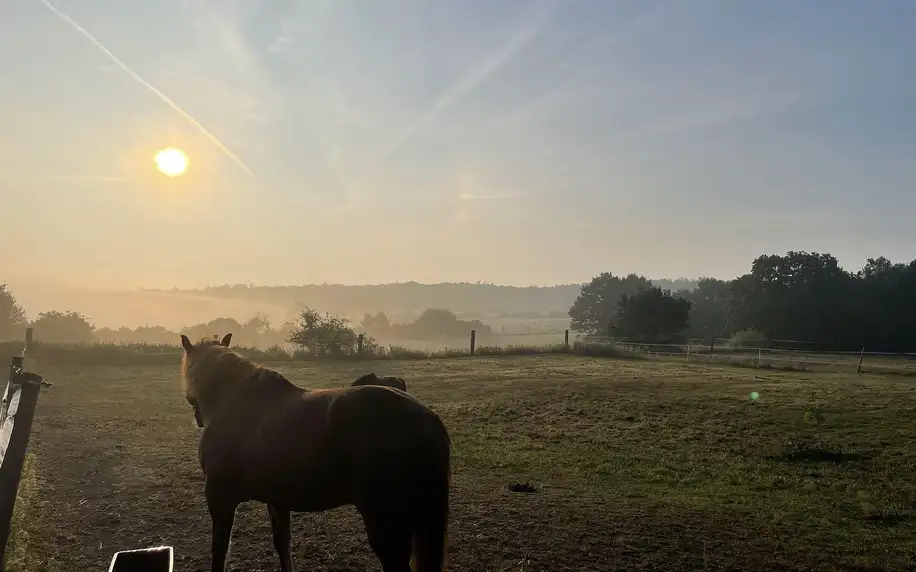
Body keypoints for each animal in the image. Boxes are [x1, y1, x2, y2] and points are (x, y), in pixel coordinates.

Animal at [180, 332, 450, 572]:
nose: (198, 418)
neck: (234, 403)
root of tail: (428, 419)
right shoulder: (277, 499)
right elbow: (283, 545)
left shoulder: (220, 499)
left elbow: (219, 552)